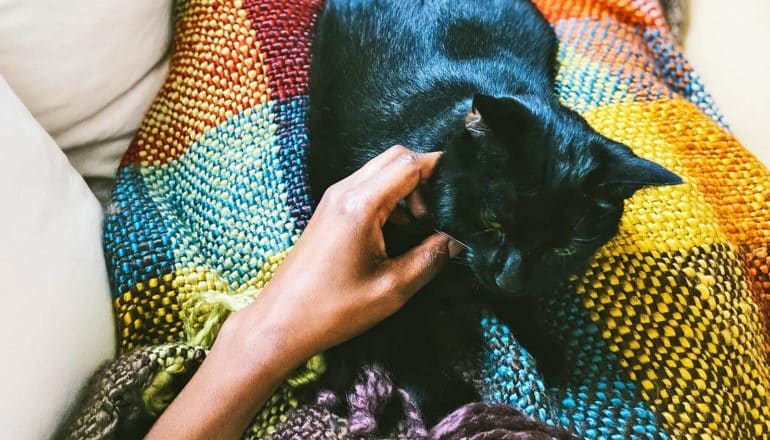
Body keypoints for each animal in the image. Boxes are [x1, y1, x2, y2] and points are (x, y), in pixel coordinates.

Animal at [306, 0, 680, 428]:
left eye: (564, 249)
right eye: (492, 221)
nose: (510, 277)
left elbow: (519, 300)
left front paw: (538, 341)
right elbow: (406, 336)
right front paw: (451, 403)